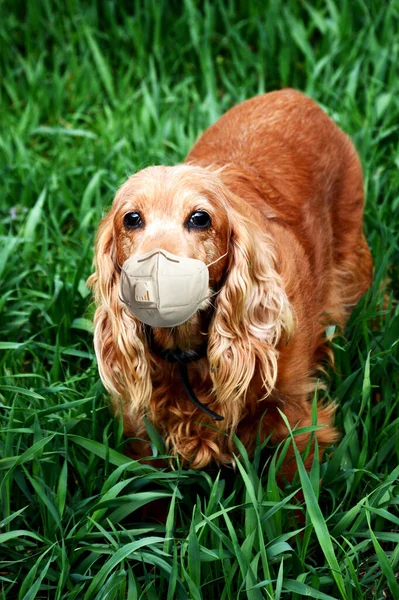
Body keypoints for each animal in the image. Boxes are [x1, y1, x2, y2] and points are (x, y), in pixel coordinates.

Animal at [86, 89, 372, 474]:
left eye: (200, 218)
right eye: (131, 218)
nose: (152, 279)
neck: (188, 356)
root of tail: (293, 94)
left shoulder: (297, 418)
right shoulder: (140, 427)